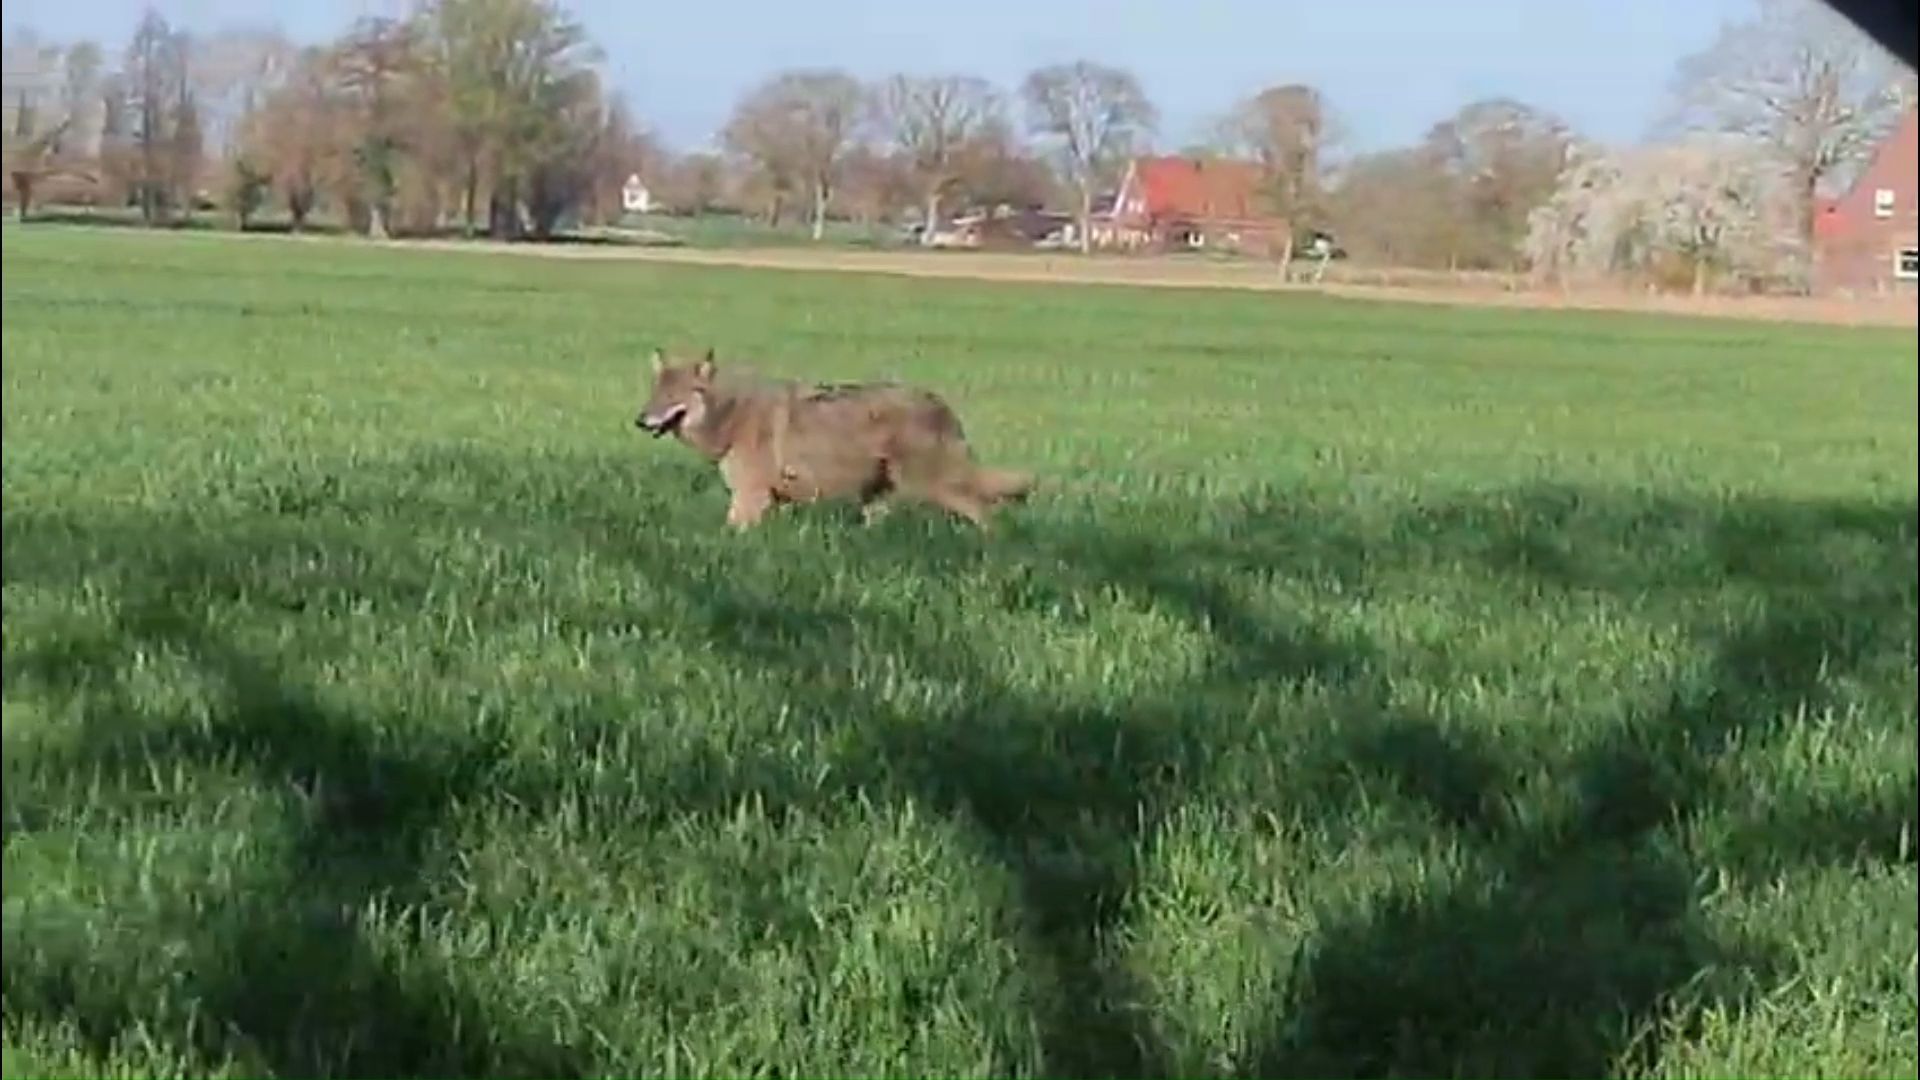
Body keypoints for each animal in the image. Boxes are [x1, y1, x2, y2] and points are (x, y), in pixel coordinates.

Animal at [634, 347, 1034, 531]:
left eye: (673, 396)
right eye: (654, 392)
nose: (640, 421)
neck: (731, 415)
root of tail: (942, 404)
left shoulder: (749, 499)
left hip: (935, 487)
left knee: (986, 514)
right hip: (877, 499)